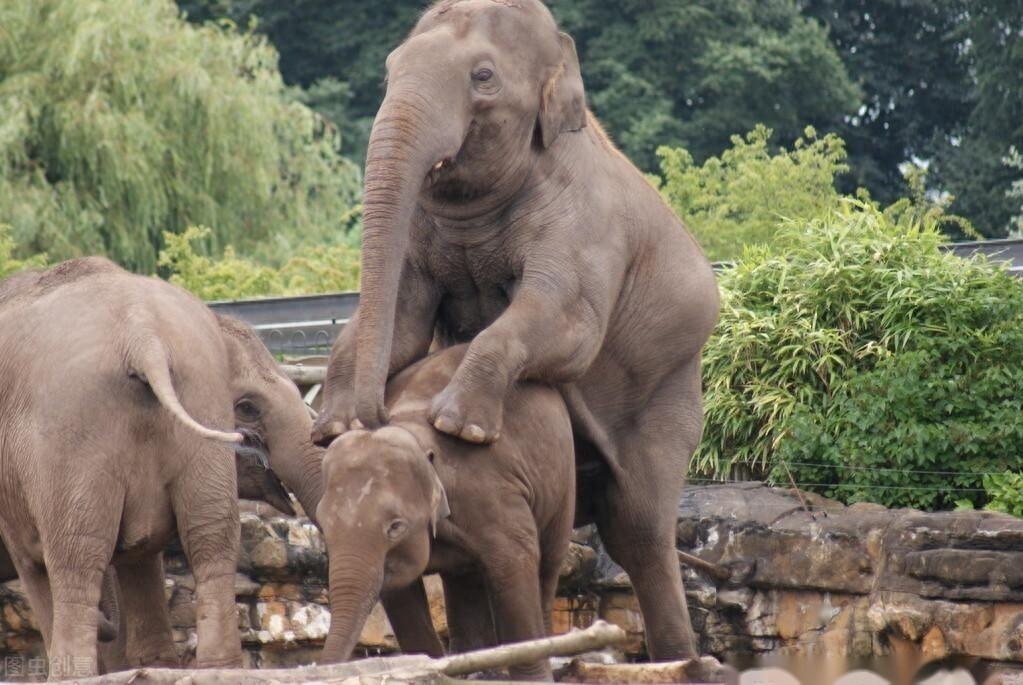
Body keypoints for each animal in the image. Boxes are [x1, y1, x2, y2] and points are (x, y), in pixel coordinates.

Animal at [317, 345, 576, 682]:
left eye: (395, 527)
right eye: (322, 526)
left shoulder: (490, 498)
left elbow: (515, 564)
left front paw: (533, 678)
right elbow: (400, 593)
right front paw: (426, 666)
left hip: (564, 481)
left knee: (548, 563)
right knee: (464, 580)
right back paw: (476, 669)